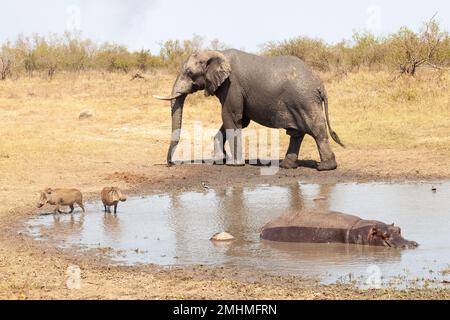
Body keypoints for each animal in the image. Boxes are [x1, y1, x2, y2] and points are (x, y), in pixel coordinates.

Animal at [155, 48, 344, 170]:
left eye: (189, 73)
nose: (170, 164)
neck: (216, 52)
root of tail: (320, 85)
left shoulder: (232, 86)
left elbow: (231, 117)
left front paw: (234, 164)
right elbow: (238, 120)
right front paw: (221, 160)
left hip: (305, 100)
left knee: (316, 130)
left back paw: (325, 167)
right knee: (297, 133)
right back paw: (287, 166)